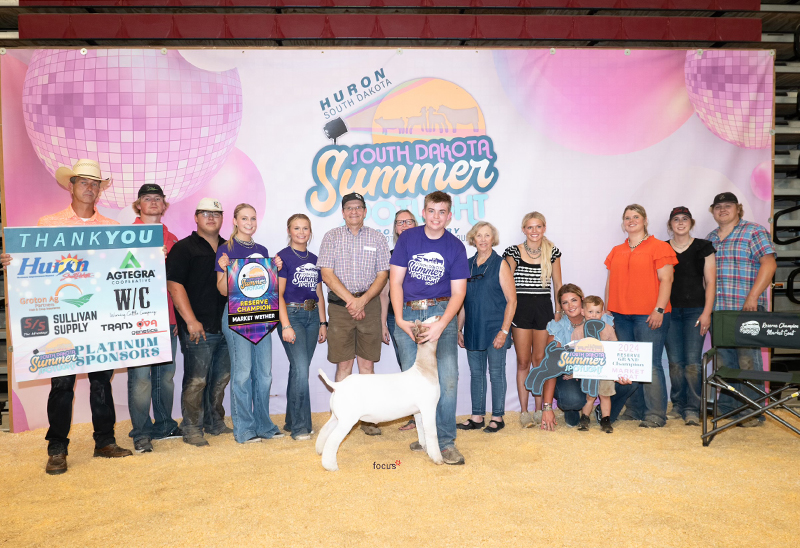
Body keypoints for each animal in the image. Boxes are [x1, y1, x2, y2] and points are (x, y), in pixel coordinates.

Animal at [316, 317, 443, 472]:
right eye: (428, 323)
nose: (438, 317)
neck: (423, 370)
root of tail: (338, 385)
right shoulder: (428, 408)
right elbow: (431, 433)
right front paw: (438, 459)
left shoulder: (418, 411)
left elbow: (421, 430)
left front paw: (425, 449)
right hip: (347, 420)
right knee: (332, 440)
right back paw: (331, 466)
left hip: (337, 416)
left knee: (325, 431)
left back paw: (319, 451)